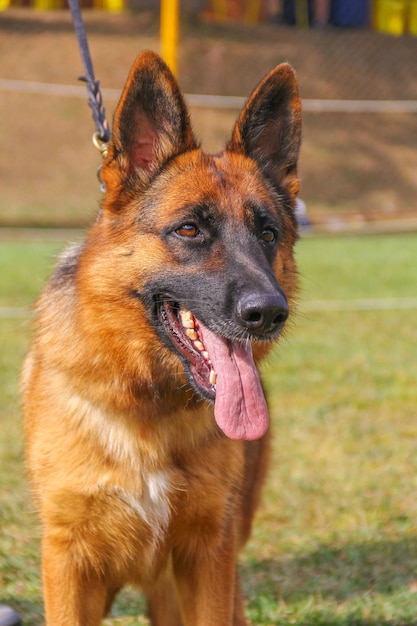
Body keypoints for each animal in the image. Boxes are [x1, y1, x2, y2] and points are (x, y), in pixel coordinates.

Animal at [22, 50, 300, 624]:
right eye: (189, 230)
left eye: (268, 234)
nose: (269, 313)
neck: (147, 405)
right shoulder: (67, 559)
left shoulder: (208, 556)